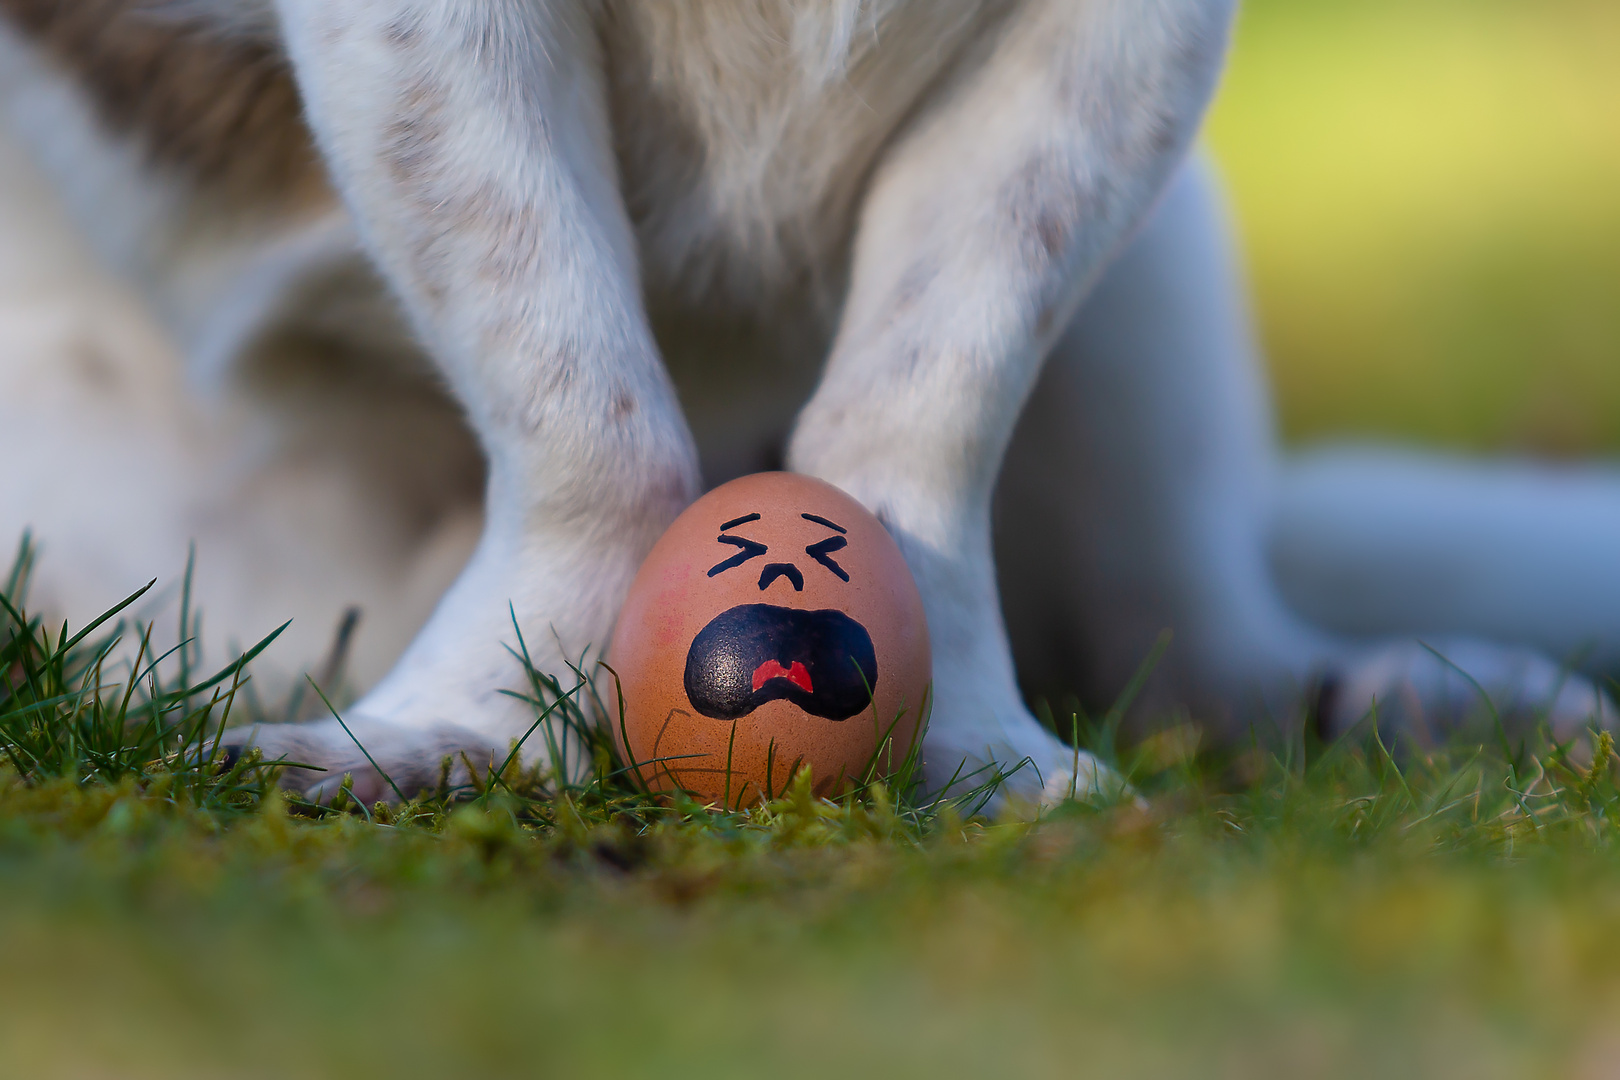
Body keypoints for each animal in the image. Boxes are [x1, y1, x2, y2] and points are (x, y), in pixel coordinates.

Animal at [0, 0, 1613, 803]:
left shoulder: (1116, 43)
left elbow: (926, 400)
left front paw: (976, 745)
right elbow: (581, 396)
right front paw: (465, 730)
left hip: (1168, 284)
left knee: (1196, 642)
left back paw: (1386, 700)